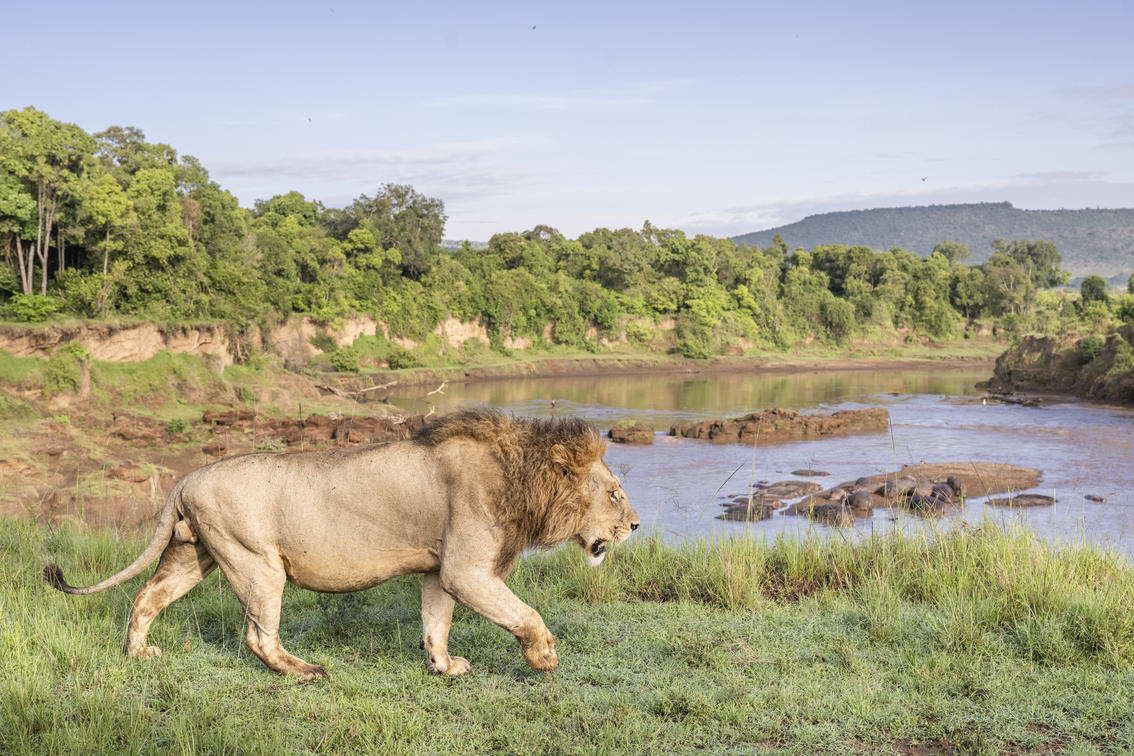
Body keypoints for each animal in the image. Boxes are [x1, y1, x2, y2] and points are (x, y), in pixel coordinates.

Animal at [44, 407, 639, 680]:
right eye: (614, 493)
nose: (635, 526)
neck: (522, 477)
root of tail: (186, 478)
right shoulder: (468, 569)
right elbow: (526, 613)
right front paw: (544, 657)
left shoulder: (440, 569)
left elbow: (435, 623)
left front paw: (444, 667)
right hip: (257, 564)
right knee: (257, 636)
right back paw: (305, 671)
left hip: (196, 556)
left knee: (145, 598)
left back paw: (139, 653)